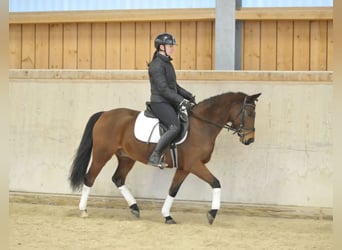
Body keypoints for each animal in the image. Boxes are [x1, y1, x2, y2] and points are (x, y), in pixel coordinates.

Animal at [69, 92, 262, 225]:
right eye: (250, 113)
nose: (250, 140)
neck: (202, 125)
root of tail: (105, 113)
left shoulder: (184, 168)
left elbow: (173, 190)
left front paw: (167, 216)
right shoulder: (194, 164)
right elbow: (216, 183)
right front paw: (212, 214)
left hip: (126, 158)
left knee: (118, 178)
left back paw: (135, 208)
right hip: (102, 154)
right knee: (90, 178)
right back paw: (83, 210)